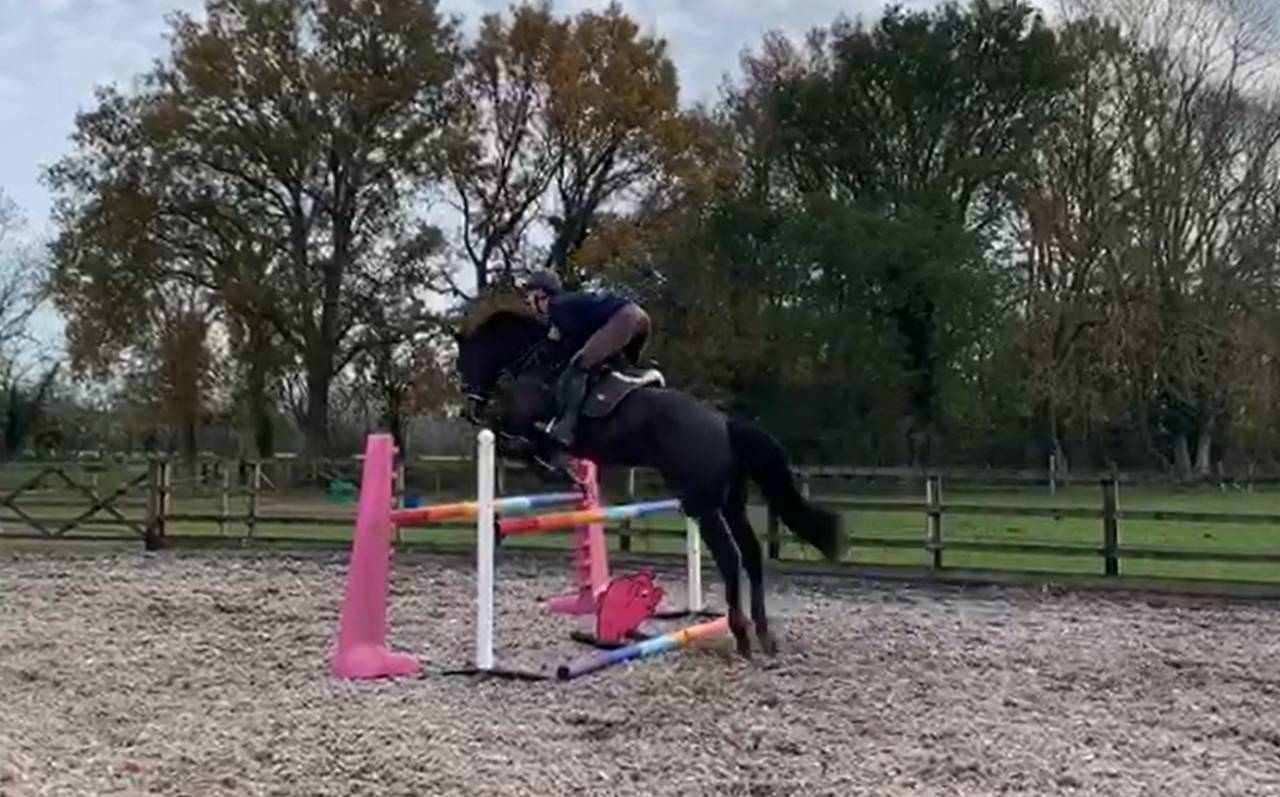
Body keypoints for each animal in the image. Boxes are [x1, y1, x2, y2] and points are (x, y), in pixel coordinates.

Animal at [452, 309, 846, 657]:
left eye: (464, 362)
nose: (469, 407)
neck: (536, 361)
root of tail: (724, 425)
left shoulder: (526, 420)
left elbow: (514, 437)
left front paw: (551, 466)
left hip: (702, 504)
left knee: (731, 557)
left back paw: (741, 634)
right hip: (731, 503)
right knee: (750, 554)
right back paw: (763, 634)